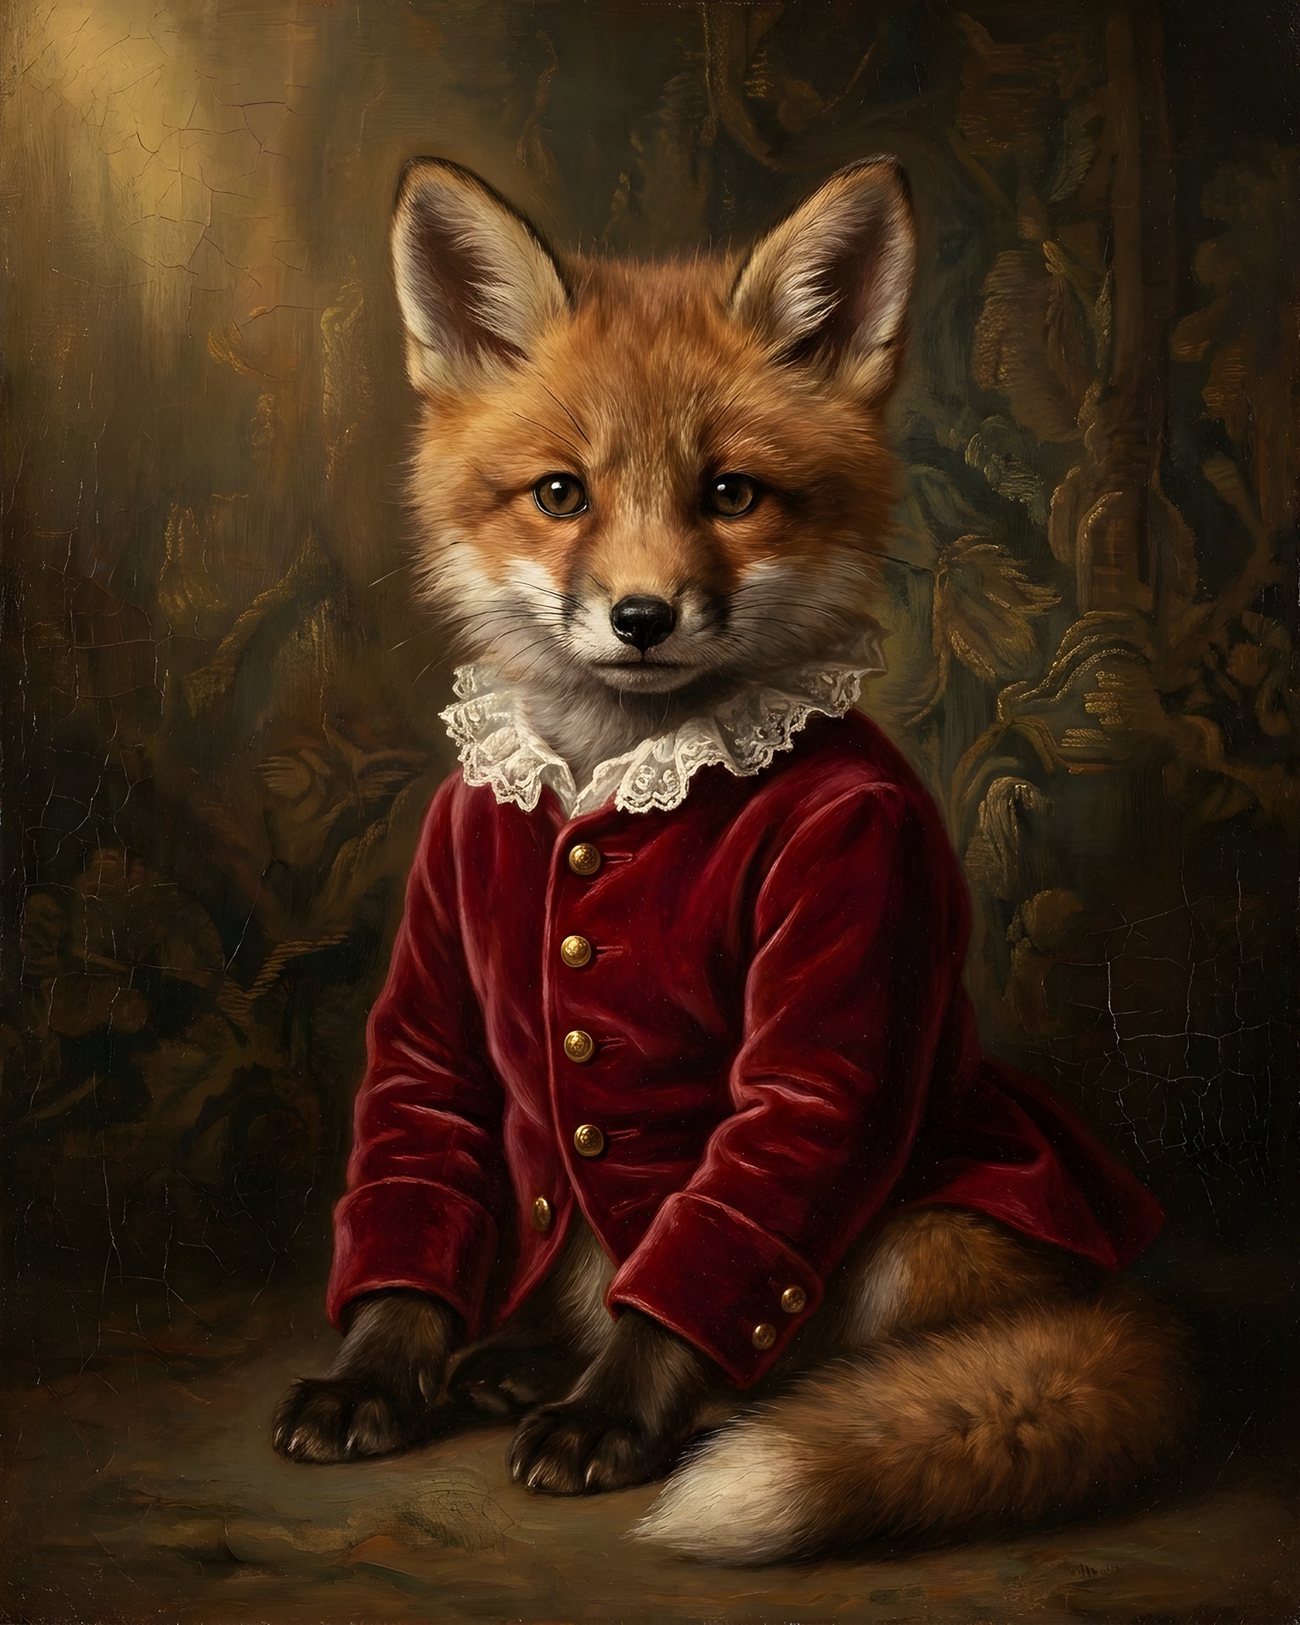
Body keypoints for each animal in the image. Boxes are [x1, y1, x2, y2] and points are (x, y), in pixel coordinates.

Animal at [271, 154, 1190, 1564]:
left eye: (729, 494)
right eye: (561, 493)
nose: (642, 615)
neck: (616, 779)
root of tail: (1117, 1299)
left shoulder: (843, 943)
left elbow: (711, 1256)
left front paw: (613, 1414)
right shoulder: (436, 997)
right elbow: (410, 1181)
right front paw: (374, 1371)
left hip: (914, 1235)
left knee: (806, 1355)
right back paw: (527, 1362)